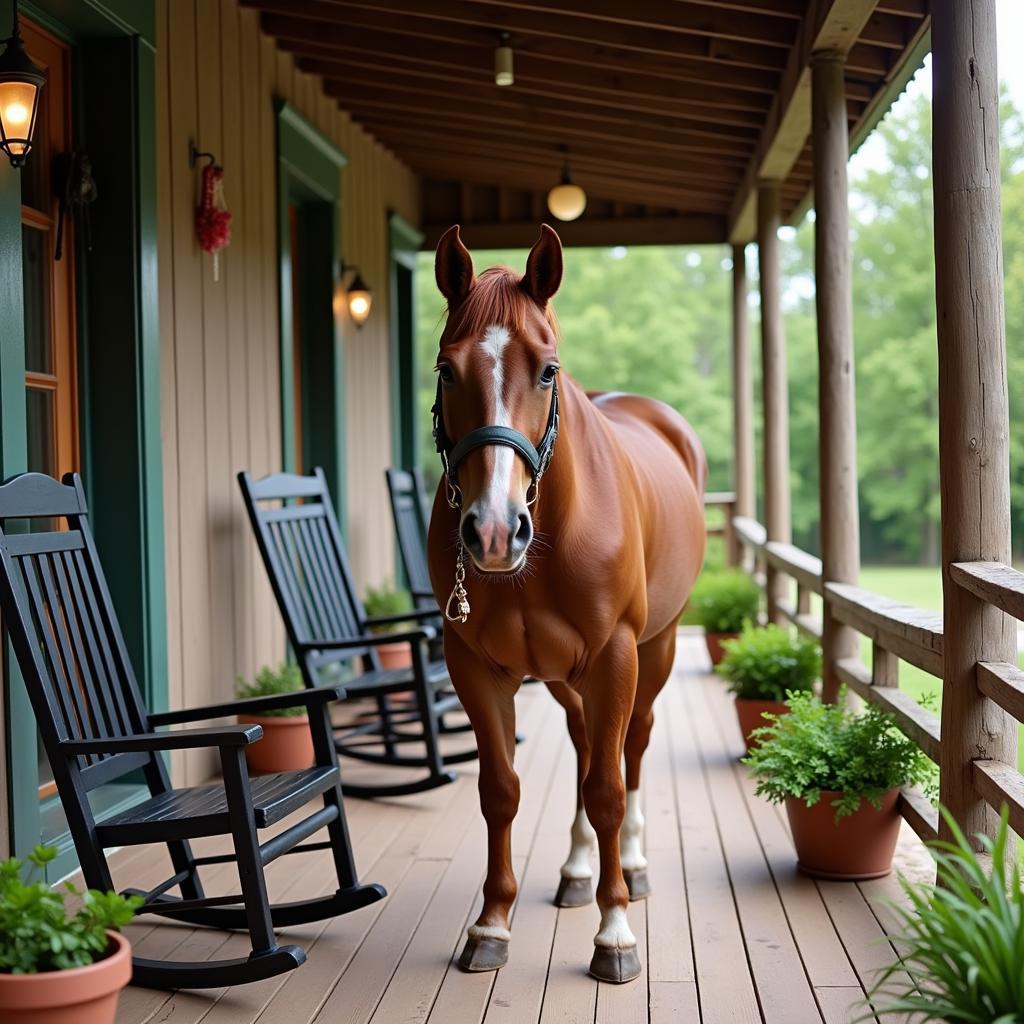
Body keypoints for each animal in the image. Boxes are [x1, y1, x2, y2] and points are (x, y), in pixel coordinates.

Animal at [423, 224, 704, 983]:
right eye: (446, 370)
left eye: (547, 371)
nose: (493, 532)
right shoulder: (476, 667)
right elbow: (501, 791)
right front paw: (492, 923)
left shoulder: (614, 658)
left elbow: (608, 788)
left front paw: (616, 933)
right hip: (560, 676)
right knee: (583, 746)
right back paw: (578, 870)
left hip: (654, 650)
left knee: (629, 748)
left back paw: (629, 864)